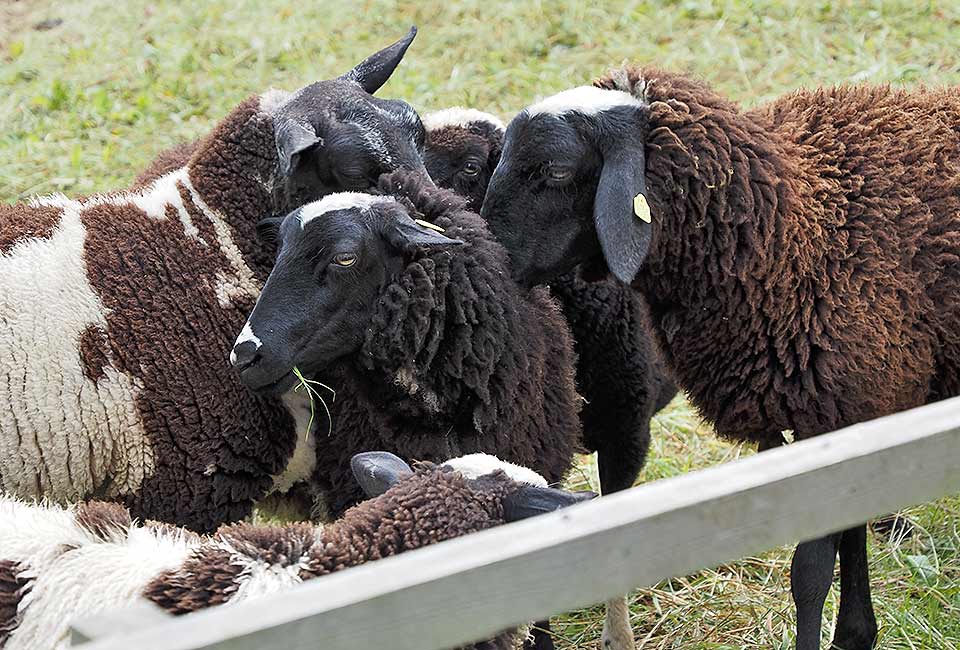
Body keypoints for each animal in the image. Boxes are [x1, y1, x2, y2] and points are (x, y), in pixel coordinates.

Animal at [480, 67, 960, 648]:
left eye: (554, 171)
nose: (484, 256)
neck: (792, 236)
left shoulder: (839, 407)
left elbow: (811, 569)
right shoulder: (838, 412)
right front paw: (855, 633)